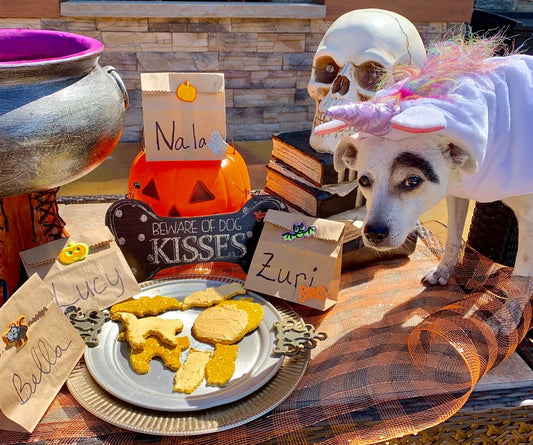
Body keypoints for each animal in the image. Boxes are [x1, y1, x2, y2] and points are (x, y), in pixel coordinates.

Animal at [316, 40, 532, 284]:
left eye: (413, 180)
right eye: (363, 181)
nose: (373, 232)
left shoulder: (528, 222)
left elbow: (522, 278)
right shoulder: (456, 192)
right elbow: (453, 237)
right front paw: (442, 271)